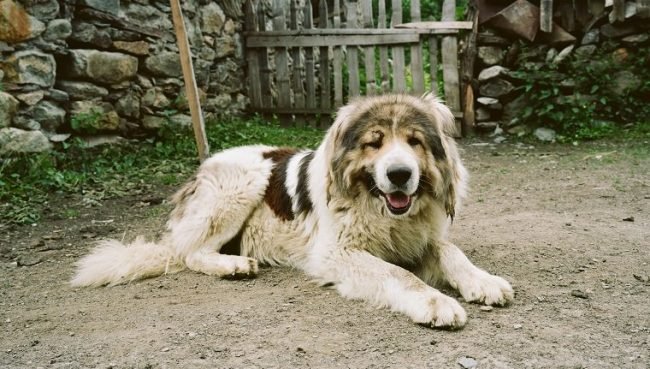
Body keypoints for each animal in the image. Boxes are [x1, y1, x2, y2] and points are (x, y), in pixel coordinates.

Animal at [71, 92, 512, 328]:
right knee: (189, 253)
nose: (400, 174)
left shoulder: (422, 237)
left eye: (415, 141)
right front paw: (435, 302)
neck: (376, 207)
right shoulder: (337, 253)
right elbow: (398, 274)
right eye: (374, 143)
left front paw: (483, 281)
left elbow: (451, 251)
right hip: (245, 181)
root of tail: (198, 173)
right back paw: (232, 265)